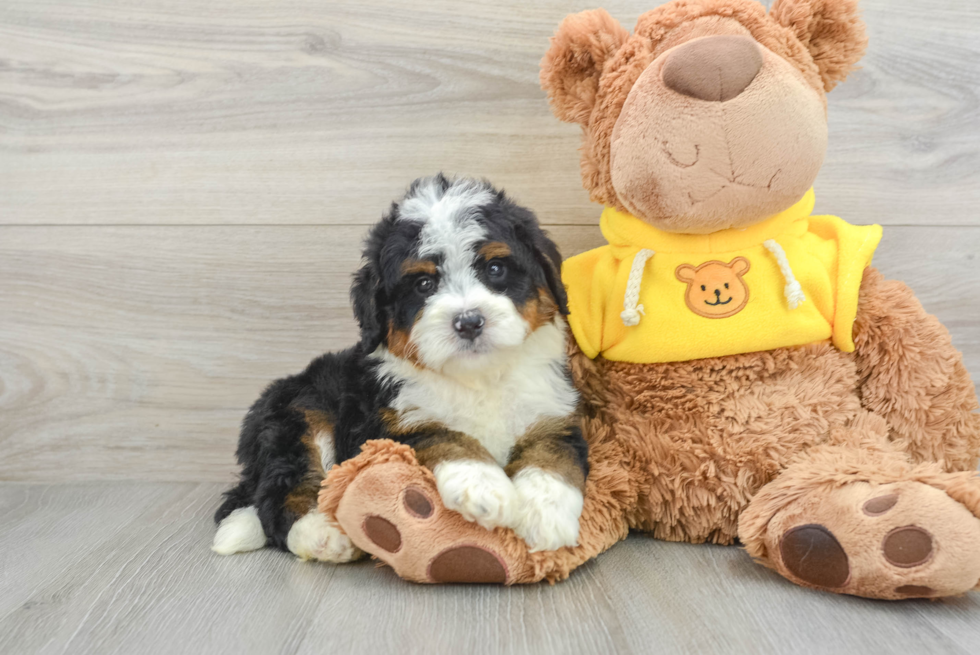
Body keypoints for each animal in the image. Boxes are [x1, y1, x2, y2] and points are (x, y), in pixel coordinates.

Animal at [211, 176, 584, 564]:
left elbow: (552, 457)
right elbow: (445, 436)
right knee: (279, 494)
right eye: (423, 284)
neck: (477, 378)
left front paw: (546, 514)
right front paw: (482, 487)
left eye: (495, 269)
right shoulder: (393, 424)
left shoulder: (553, 415)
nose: (468, 322)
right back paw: (322, 535)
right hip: (298, 415)